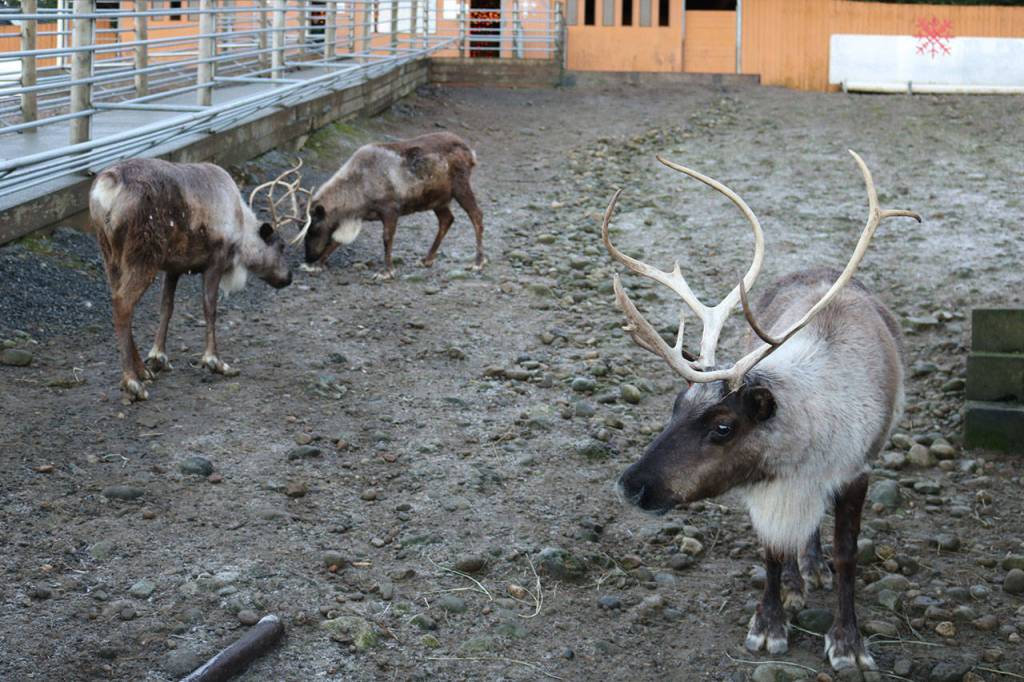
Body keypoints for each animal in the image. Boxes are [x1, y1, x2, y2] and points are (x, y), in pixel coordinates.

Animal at [90, 157, 308, 402]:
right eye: (281, 246)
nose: (288, 277)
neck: (241, 227)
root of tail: (108, 185)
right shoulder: (216, 261)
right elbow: (209, 307)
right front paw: (215, 362)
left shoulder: (174, 267)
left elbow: (167, 308)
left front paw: (158, 356)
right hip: (144, 254)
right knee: (123, 304)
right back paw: (132, 382)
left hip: (110, 255)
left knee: (118, 300)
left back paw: (142, 371)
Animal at [294, 132, 486, 280]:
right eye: (301, 228)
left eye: (314, 229)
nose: (308, 257)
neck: (358, 187)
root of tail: (471, 152)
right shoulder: (358, 216)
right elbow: (337, 240)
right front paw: (316, 265)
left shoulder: (391, 209)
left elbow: (387, 238)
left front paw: (386, 271)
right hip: (437, 199)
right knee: (447, 219)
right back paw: (427, 259)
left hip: (460, 186)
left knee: (477, 215)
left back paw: (477, 262)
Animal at [602, 151, 920, 671]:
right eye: (675, 405)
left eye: (723, 426)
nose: (631, 485)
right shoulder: (766, 487)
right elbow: (771, 549)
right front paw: (770, 623)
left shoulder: (856, 470)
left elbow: (847, 553)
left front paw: (847, 642)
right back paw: (797, 578)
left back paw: (812, 567)